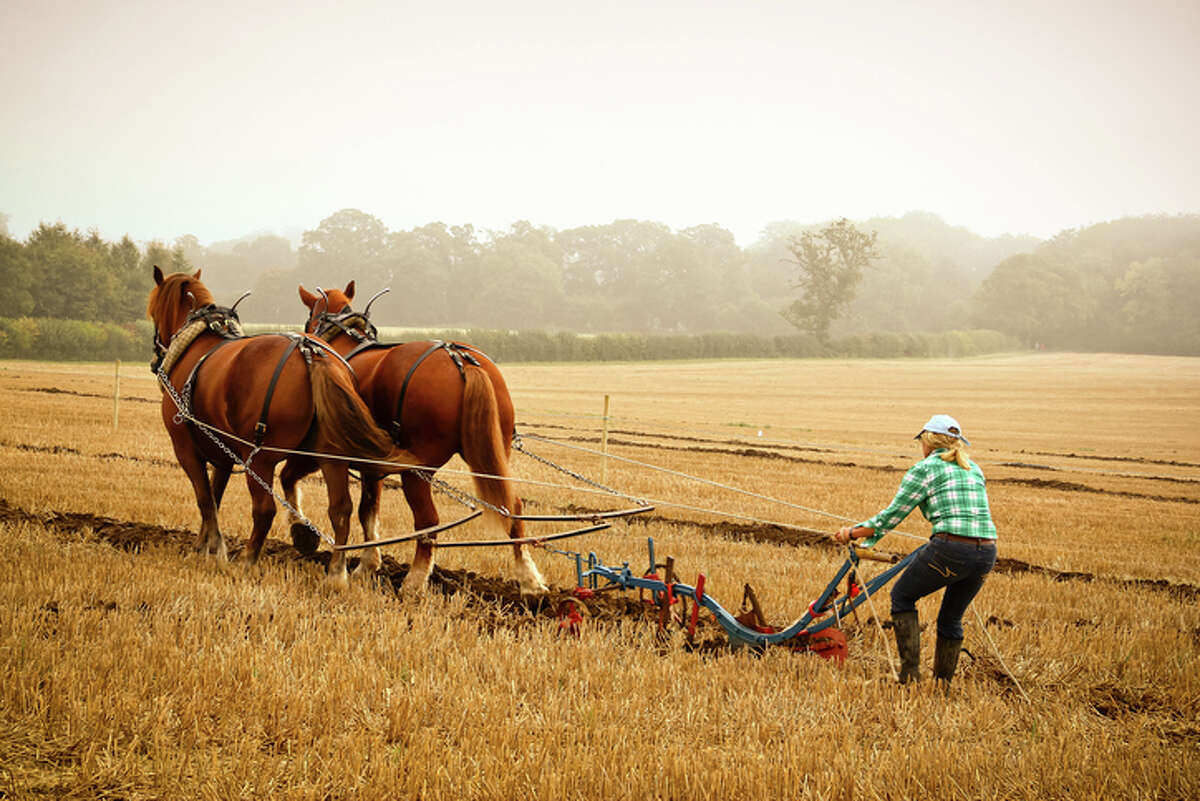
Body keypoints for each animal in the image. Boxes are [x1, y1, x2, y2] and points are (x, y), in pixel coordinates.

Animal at [147, 266, 412, 585]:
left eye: (153, 310)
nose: (155, 356)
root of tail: (311, 353)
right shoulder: (223, 454)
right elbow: (215, 496)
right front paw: (205, 546)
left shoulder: (185, 449)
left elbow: (205, 499)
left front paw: (214, 549)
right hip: (330, 455)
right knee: (341, 509)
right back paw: (336, 573)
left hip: (259, 458)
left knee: (264, 510)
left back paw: (248, 560)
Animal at [278, 281, 547, 594]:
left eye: (310, 317)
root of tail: (461, 359)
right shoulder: (372, 467)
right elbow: (368, 510)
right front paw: (367, 564)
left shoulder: (321, 453)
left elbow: (290, 479)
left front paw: (301, 529)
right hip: (494, 455)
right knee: (513, 508)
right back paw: (529, 579)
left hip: (417, 471)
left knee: (428, 521)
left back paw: (414, 582)